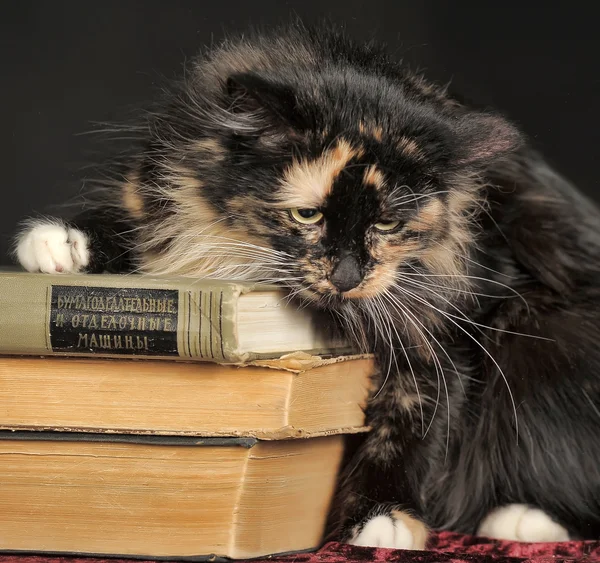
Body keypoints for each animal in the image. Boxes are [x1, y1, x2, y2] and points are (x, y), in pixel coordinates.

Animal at [12, 22, 600, 552]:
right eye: (307, 214)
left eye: (387, 224)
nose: (346, 276)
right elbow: (129, 224)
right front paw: (58, 244)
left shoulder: (438, 337)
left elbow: (406, 431)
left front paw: (384, 521)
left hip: (546, 346)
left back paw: (520, 520)